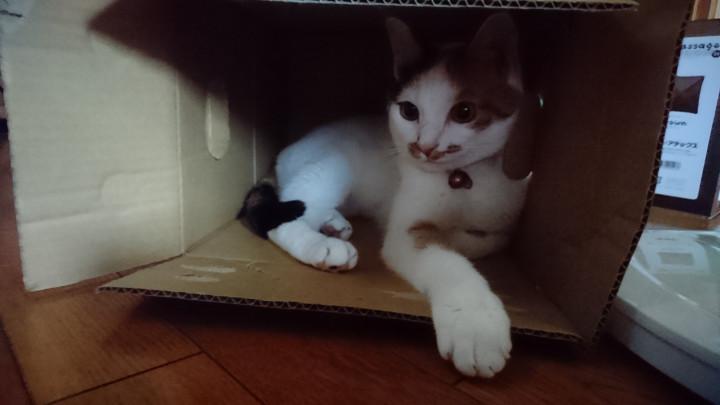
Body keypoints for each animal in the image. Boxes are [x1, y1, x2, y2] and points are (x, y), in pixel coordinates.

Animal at [240, 14, 531, 378]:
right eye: (409, 111)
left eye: (464, 112)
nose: (423, 147)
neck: (463, 178)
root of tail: (285, 152)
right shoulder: (406, 230)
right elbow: (449, 262)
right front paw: (476, 323)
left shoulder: (508, 214)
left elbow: (491, 239)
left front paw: (460, 238)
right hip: (332, 164)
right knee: (287, 215)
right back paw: (322, 245)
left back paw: (334, 223)